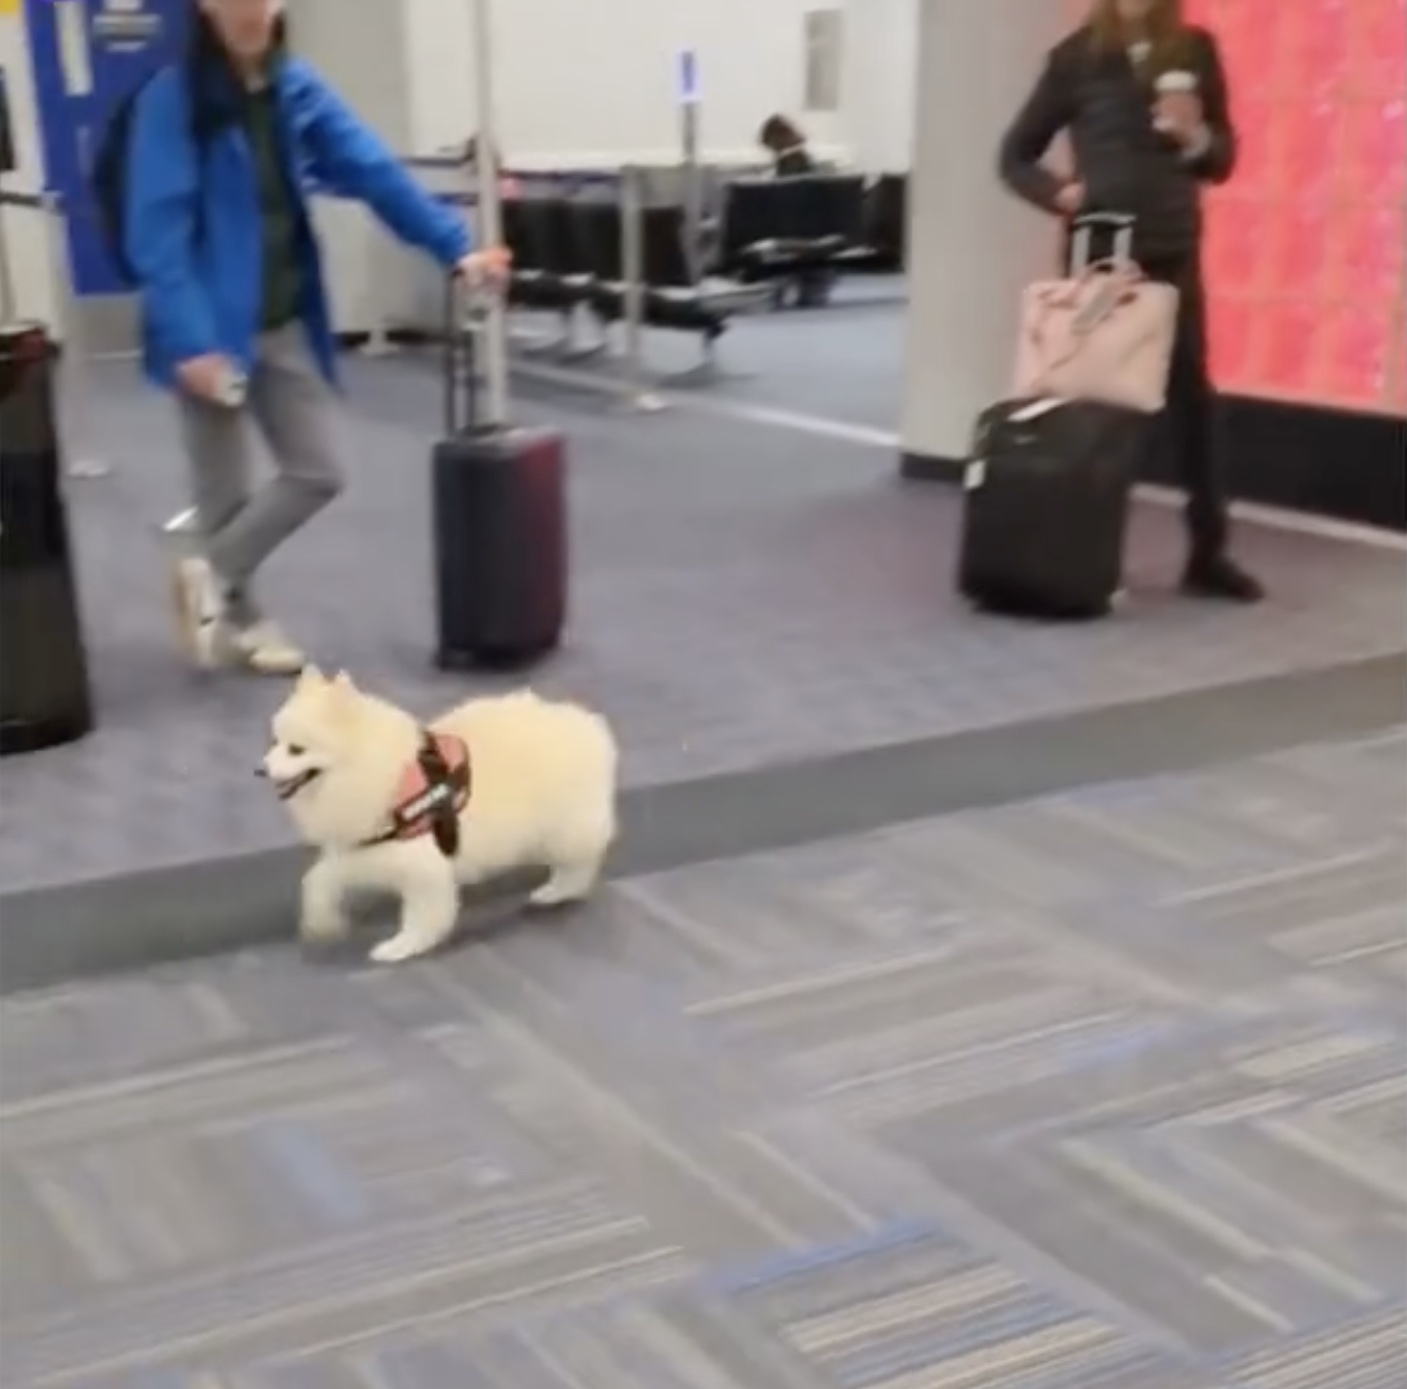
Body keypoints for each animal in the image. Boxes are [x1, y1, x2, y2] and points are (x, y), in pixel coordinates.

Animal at [264, 667, 616, 962]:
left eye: (296, 749)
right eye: (274, 741)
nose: (260, 769)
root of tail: (589, 728)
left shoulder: (420, 866)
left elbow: (424, 915)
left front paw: (401, 947)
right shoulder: (368, 849)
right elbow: (318, 878)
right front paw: (321, 921)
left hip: (563, 830)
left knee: (580, 861)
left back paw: (556, 891)